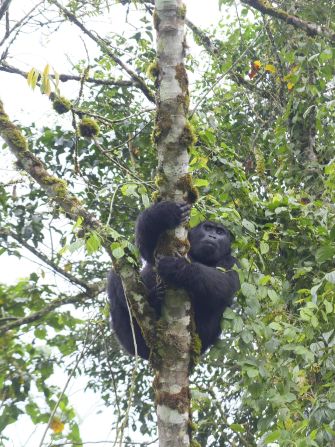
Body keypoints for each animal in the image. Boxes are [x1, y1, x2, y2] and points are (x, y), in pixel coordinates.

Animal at [109, 202, 240, 360]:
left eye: (220, 232)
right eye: (208, 228)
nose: (212, 236)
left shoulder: (233, 261)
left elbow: (225, 284)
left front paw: (179, 268)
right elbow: (146, 248)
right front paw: (161, 213)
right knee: (117, 273)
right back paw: (149, 299)